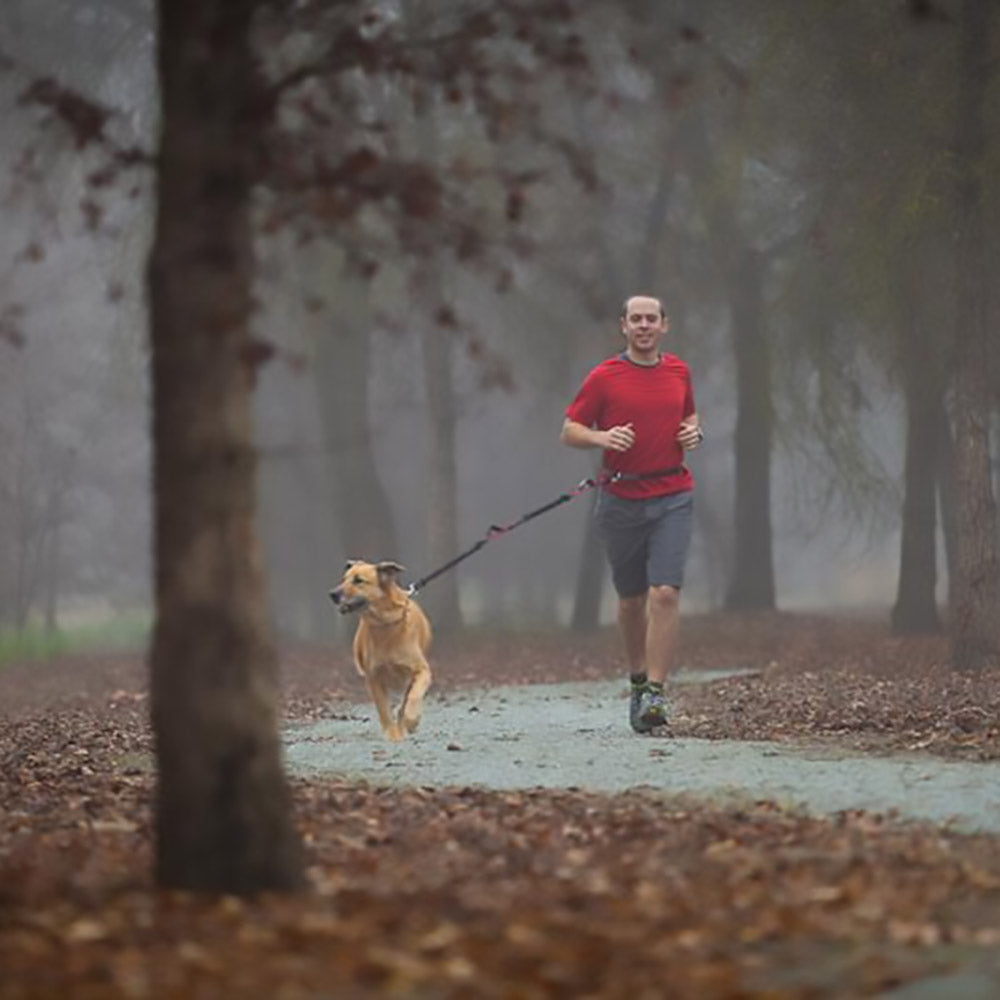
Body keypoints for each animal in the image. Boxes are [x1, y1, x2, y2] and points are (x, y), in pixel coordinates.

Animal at [330, 564, 432, 744]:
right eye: (343, 579)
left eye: (358, 580)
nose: (332, 594)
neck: (385, 623)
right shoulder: (374, 677)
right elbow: (383, 709)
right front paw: (392, 733)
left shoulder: (421, 670)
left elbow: (413, 696)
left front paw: (411, 720)